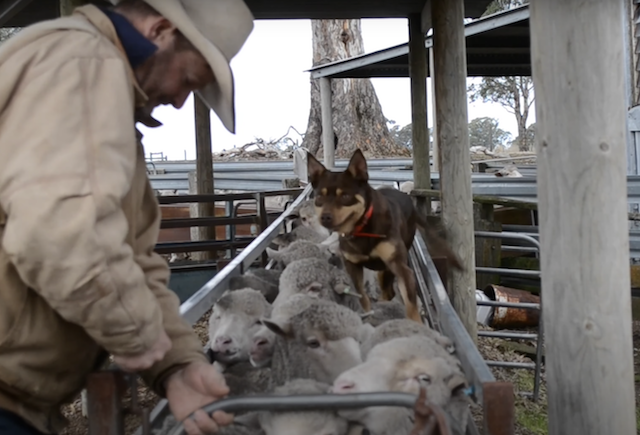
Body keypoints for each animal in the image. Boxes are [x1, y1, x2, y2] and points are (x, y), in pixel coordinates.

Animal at [308, 150, 462, 324]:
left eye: (346, 196)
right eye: (319, 197)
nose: (325, 217)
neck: (362, 228)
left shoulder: (400, 267)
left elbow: (411, 305)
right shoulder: (352, 266)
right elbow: (362, 296)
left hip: (387, 267)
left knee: (389, 292)